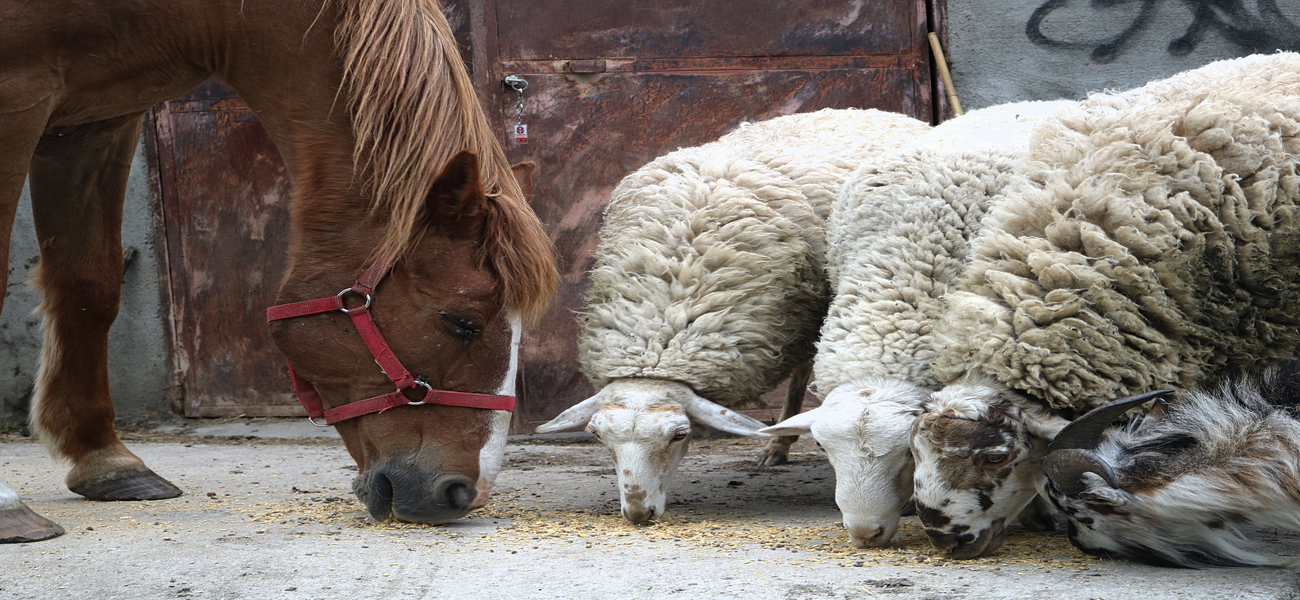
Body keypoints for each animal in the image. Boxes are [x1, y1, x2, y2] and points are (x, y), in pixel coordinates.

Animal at [0, 0, 559, 542]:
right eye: (462, 321)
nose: (465, 493)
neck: (189, 15)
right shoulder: (19, 96)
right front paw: (9, 506)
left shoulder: (98, 122)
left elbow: (89, 287)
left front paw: (104, 460)